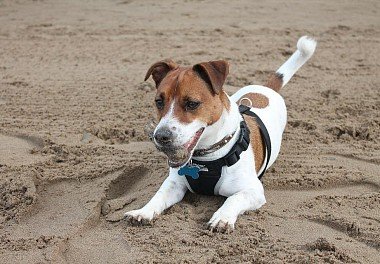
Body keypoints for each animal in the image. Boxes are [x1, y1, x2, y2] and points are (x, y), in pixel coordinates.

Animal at [126, 36, 316, 232]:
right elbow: (159, 195)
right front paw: (144, 211)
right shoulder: (174, 184)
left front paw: (222, 217)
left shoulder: (253, 190)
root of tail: (266, 88)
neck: (206, 159)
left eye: (192, 103)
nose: (160, 137)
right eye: (159, 102)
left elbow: (234, 198)